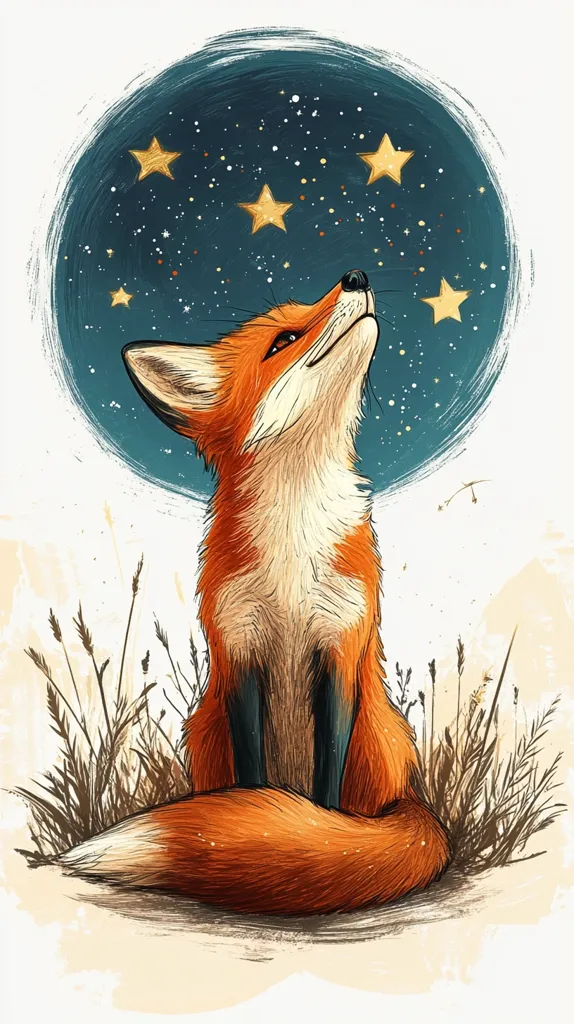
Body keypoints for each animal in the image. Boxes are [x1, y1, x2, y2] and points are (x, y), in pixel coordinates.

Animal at [59, 269, 450, 914]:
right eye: (282, 340)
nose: (357, 276)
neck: (293, 542)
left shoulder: (339, 648)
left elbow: (325, 791)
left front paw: (318, 837)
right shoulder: (241, 652)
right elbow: (253, 780)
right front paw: (262, 832)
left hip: (376, 735)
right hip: (206, 730)